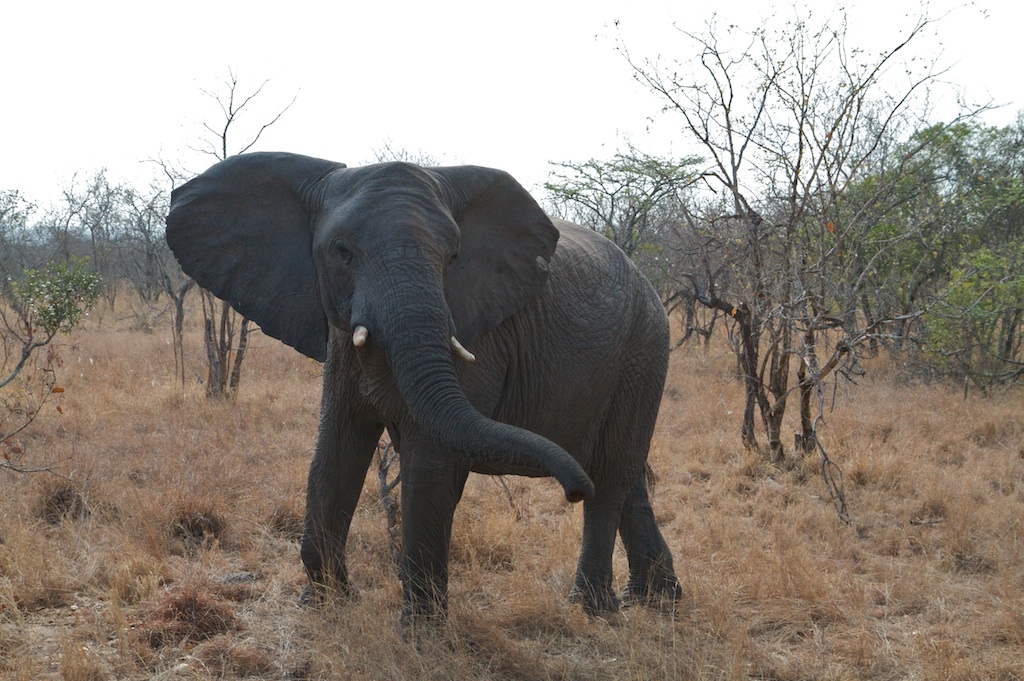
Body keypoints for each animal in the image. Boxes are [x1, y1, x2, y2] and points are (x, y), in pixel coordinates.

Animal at [165, 151, 679, 618]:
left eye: (453, 257)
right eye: (342, 252)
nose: (572, 491)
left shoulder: (478, 335)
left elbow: (431, 461)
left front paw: (421, 635)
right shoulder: (339, 340)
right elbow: (335, 452)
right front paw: (327, 607)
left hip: (645, 349)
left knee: (611, 473)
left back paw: (593, 607)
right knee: (625, 476)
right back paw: (656, 600)